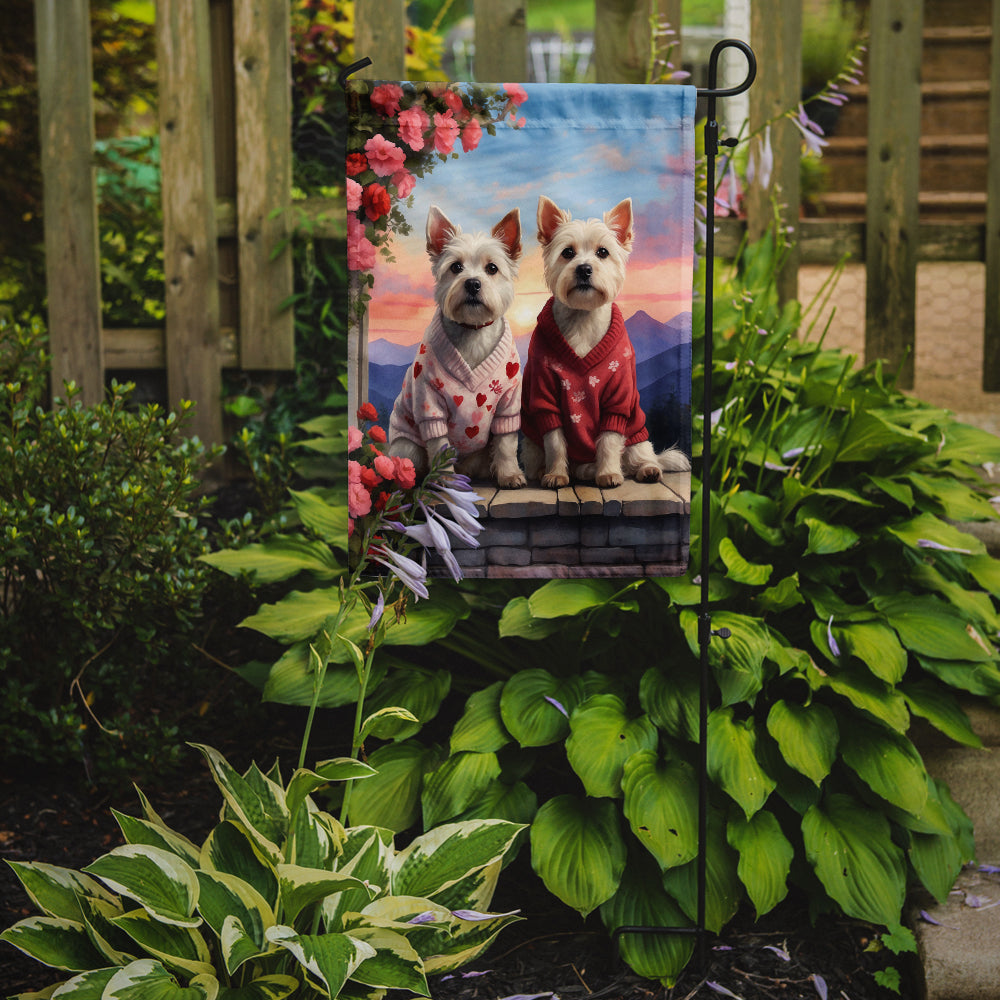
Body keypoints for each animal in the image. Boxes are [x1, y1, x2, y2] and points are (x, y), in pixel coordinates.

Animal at [524, 195, 688, 488]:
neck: (583, 317)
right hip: (531, 445)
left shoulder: (618, 397)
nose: (584, 269)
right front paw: (556, 474)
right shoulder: (545, 396)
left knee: (640, 456)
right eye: (567, 253)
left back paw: (645, 469)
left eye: (603, 252)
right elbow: (555, 442)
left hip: (637, 431)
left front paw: (609, 473)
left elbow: (610, 441)